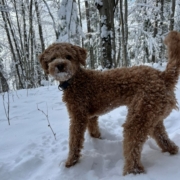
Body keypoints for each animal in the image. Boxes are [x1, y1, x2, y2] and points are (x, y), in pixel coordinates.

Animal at [39, 31, 180, 176]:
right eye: (52, 58)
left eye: (69, 56)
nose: (60, 65)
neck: (74, 80)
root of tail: (163, 76)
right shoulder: (91, 115)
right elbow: (93, 128)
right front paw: (97, 138)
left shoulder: (78, 116)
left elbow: (75, 141)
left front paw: (71, 162)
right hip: (153, 115)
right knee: (163, 138)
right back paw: (171, 151)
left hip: (139, 117)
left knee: (133, 146)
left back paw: (132, 171)